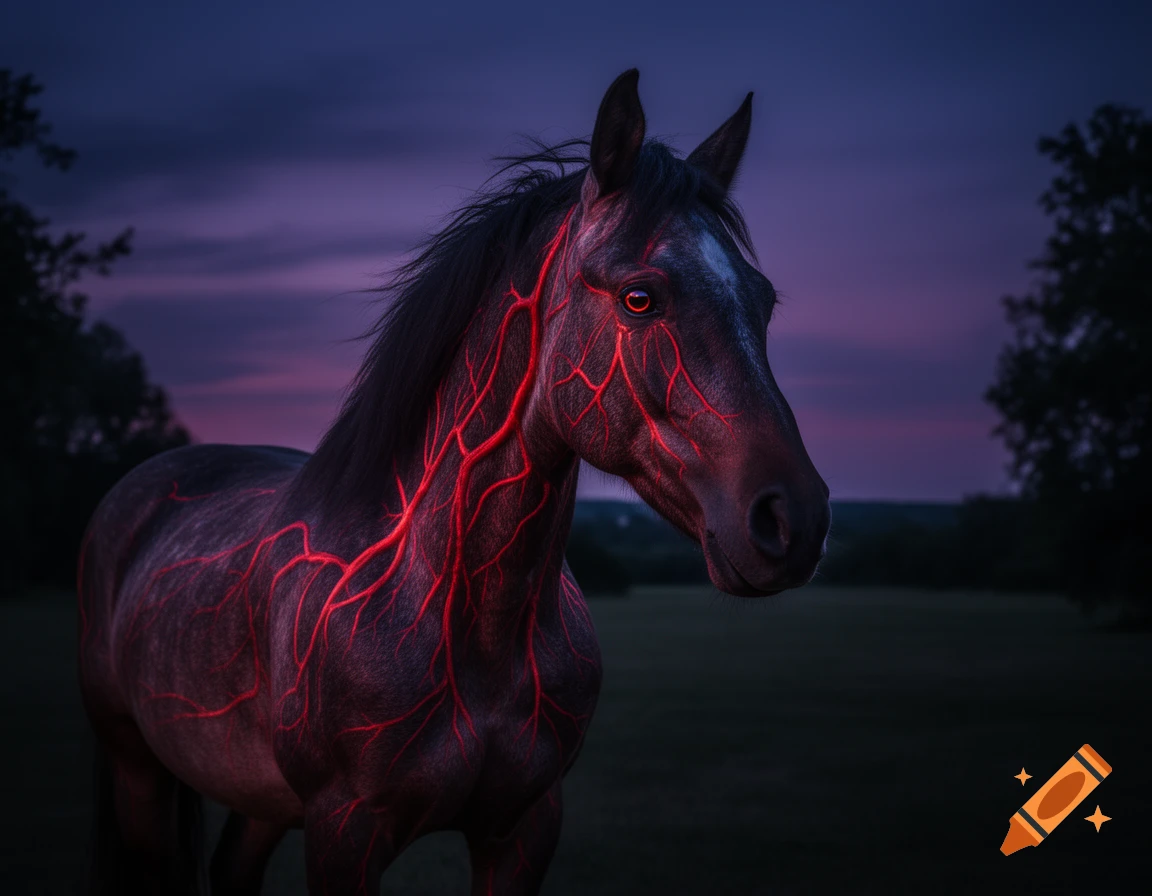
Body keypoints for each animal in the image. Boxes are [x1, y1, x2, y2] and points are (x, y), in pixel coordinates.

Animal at [78, 69, 831, 895]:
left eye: (763, 301)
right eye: (641, 296)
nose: (794, 521)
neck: (471, 623)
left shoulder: (524, 829)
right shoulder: (344, 833)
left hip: (258, 801)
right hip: (136, 767)